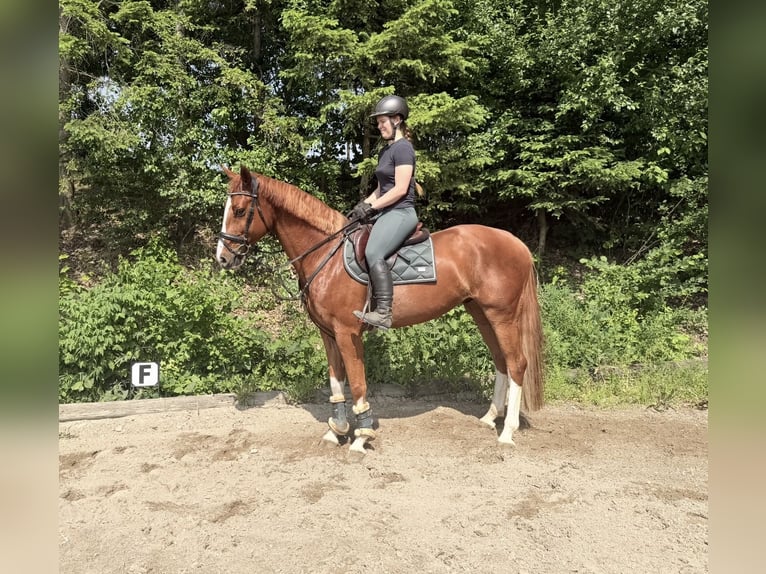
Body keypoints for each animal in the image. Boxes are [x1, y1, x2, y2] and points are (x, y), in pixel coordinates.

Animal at [216, 165, 544, 457]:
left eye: (240, 210)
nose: (223, 258)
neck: (326, 256)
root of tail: (516, 243)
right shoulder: (328, 334)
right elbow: (336, 380)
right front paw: (336, 431)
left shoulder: (347, 333)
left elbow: (358, 382)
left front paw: (361, 437)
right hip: (481, 313)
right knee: (501, 361)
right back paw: (489, 418)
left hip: (502, 315)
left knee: (516, 364)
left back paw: (507, 432)